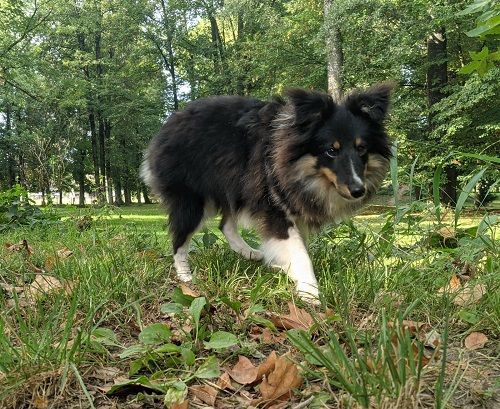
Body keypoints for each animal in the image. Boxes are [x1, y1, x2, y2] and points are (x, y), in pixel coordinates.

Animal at [139, 83, 392, 302]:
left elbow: (298, 247)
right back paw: (186, 278)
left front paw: (289, 271)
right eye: (331, 150)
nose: (358, 190)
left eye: (362, 148)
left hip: (235, 187)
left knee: (226, 225)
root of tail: (164, 129)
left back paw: (251, 253)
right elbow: (299, 251)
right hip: (193, 199)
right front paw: (310, 292)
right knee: (180, 239)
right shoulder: (274, 204)